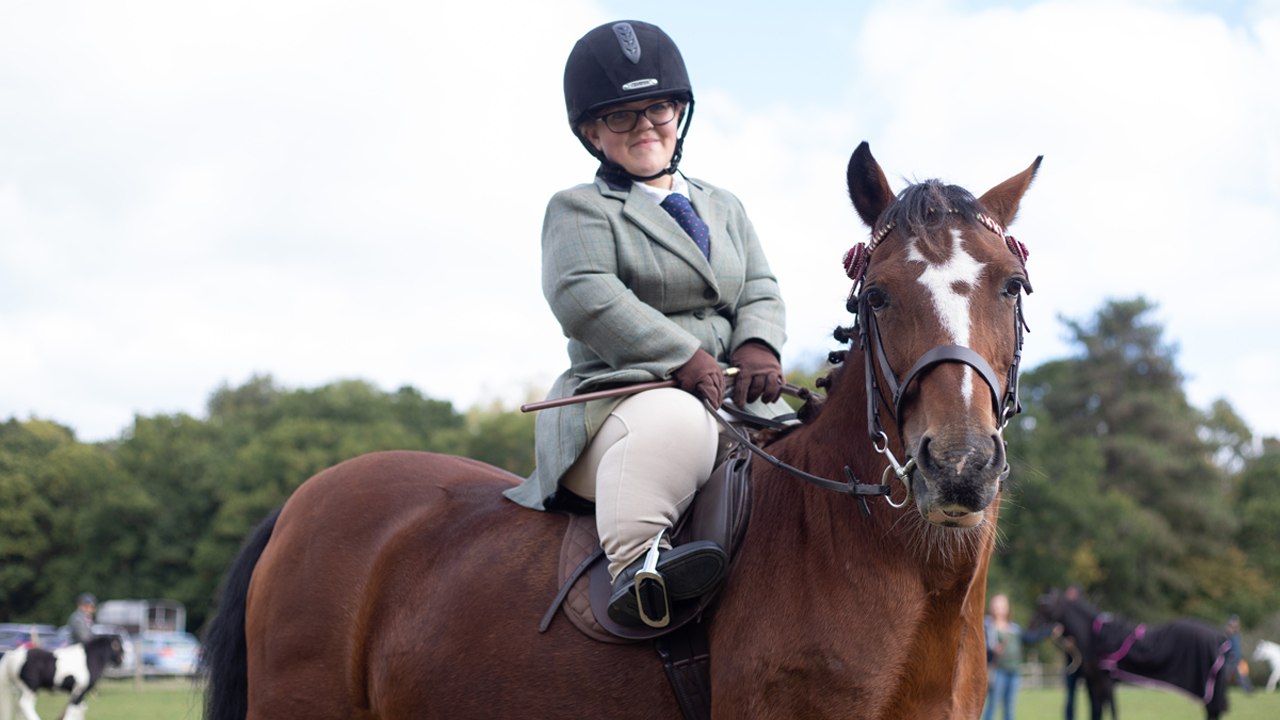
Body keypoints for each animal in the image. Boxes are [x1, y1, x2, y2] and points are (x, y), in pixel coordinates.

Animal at [1031, 589, 1232, 720]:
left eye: (1046, 607)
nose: (1032, 625)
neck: (1094, 635)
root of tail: (1218, 636)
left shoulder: (1107, 683)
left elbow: (1113, 711)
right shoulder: (1097, 684)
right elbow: (1102, 710)